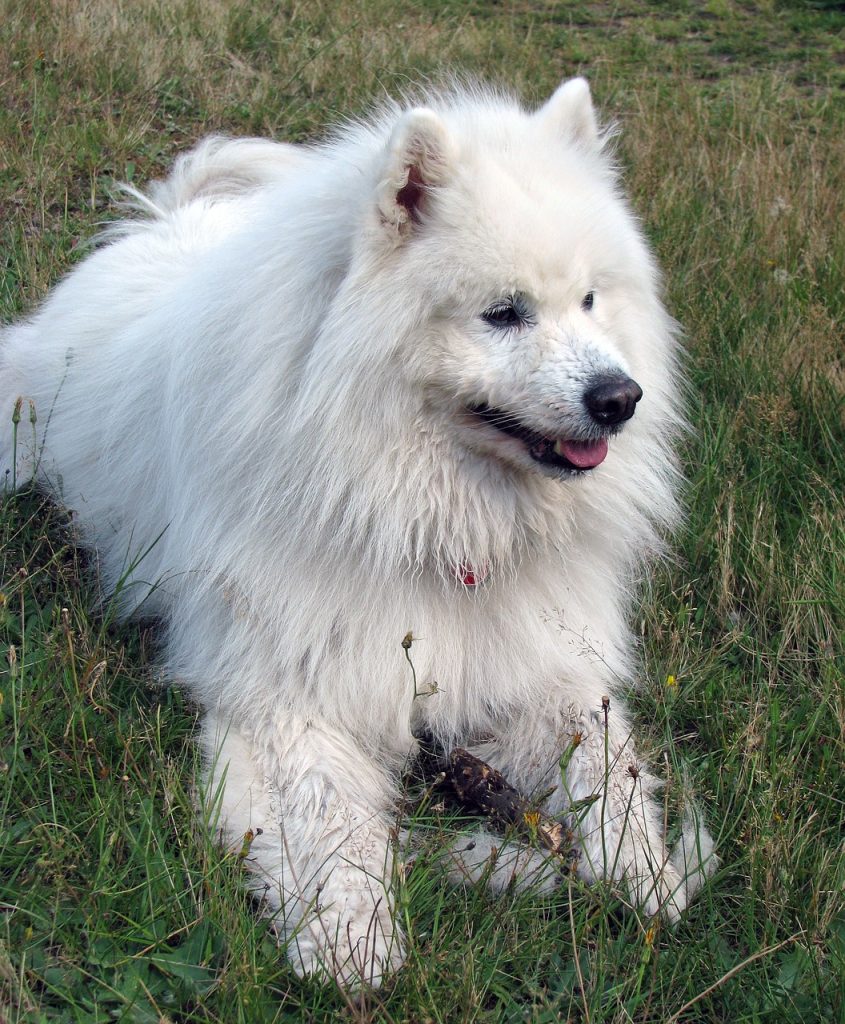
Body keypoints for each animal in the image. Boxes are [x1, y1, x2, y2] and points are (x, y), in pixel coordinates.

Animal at [0, 77, 712, 983]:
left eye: (590, 300)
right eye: (503, 313)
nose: (619, 398)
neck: (430, 519)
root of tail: (164, 224)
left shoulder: (535, 664)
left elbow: (605, 758)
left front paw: (641, 870)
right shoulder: (289, 695)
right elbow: (329, 819)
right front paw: (351, 939)